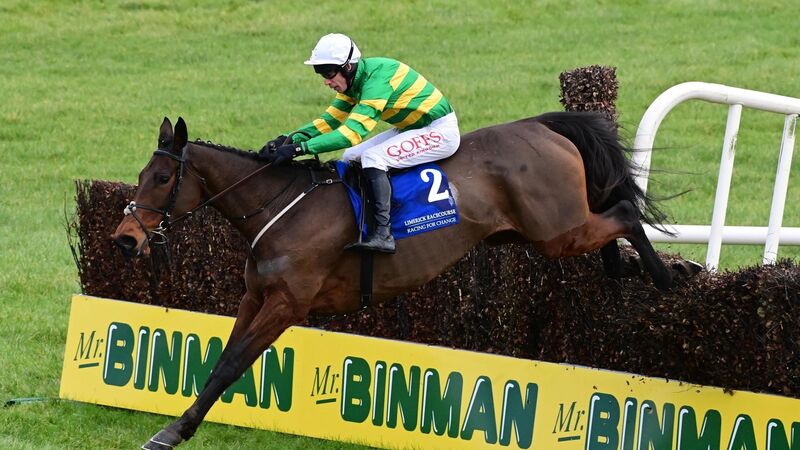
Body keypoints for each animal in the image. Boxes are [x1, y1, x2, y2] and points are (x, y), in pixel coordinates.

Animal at [112, 113, 684, 449]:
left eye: (161, 178)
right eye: (139, 176)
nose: (123, 239)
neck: (281, 208)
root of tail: (544, 126)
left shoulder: (287, 305)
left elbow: (232, 366)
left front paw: (170, 433)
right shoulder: (256, 297)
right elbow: (219, 361)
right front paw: (180, 424)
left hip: (555, 231)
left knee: (624, 212)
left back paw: (666, 277)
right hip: (537, 231)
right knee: (610, 220)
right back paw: (631, 267)